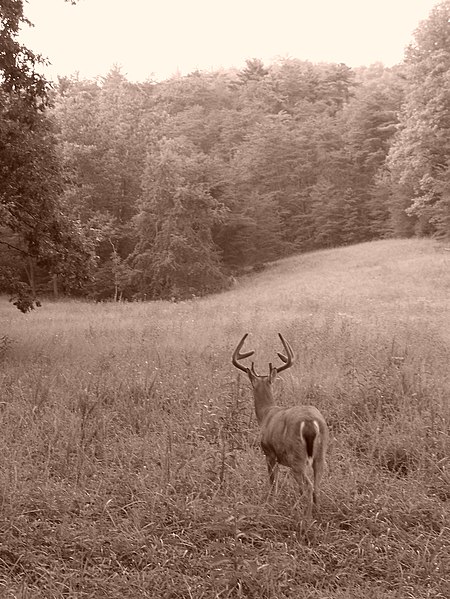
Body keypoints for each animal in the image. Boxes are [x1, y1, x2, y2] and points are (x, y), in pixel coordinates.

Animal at [232, 332, 326, 516]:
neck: (266, 414)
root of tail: (310, 422)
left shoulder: (269, 453)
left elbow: (273, 483)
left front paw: (271, 503)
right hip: (320, 455)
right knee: (316, 487)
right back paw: (316, 514)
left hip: (297, 457)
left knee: (308, 487)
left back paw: (305, 517)